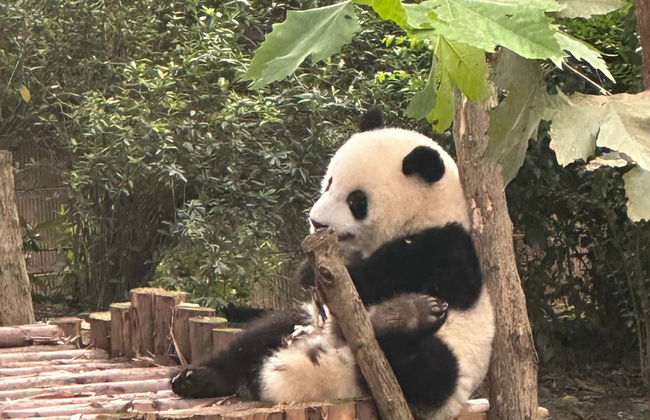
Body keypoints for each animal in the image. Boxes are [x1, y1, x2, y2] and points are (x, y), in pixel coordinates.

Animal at [171, 108, 495, 420]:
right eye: (329, 183)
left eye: (356, 201)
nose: (317, 222)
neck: (426, 214)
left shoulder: (446, 246)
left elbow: (401, 271)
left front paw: (311, 273)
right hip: (298, 323)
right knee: (254, 340)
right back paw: (194, 379)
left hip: (452, 365)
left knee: (430, 367)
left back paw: (406, 316)